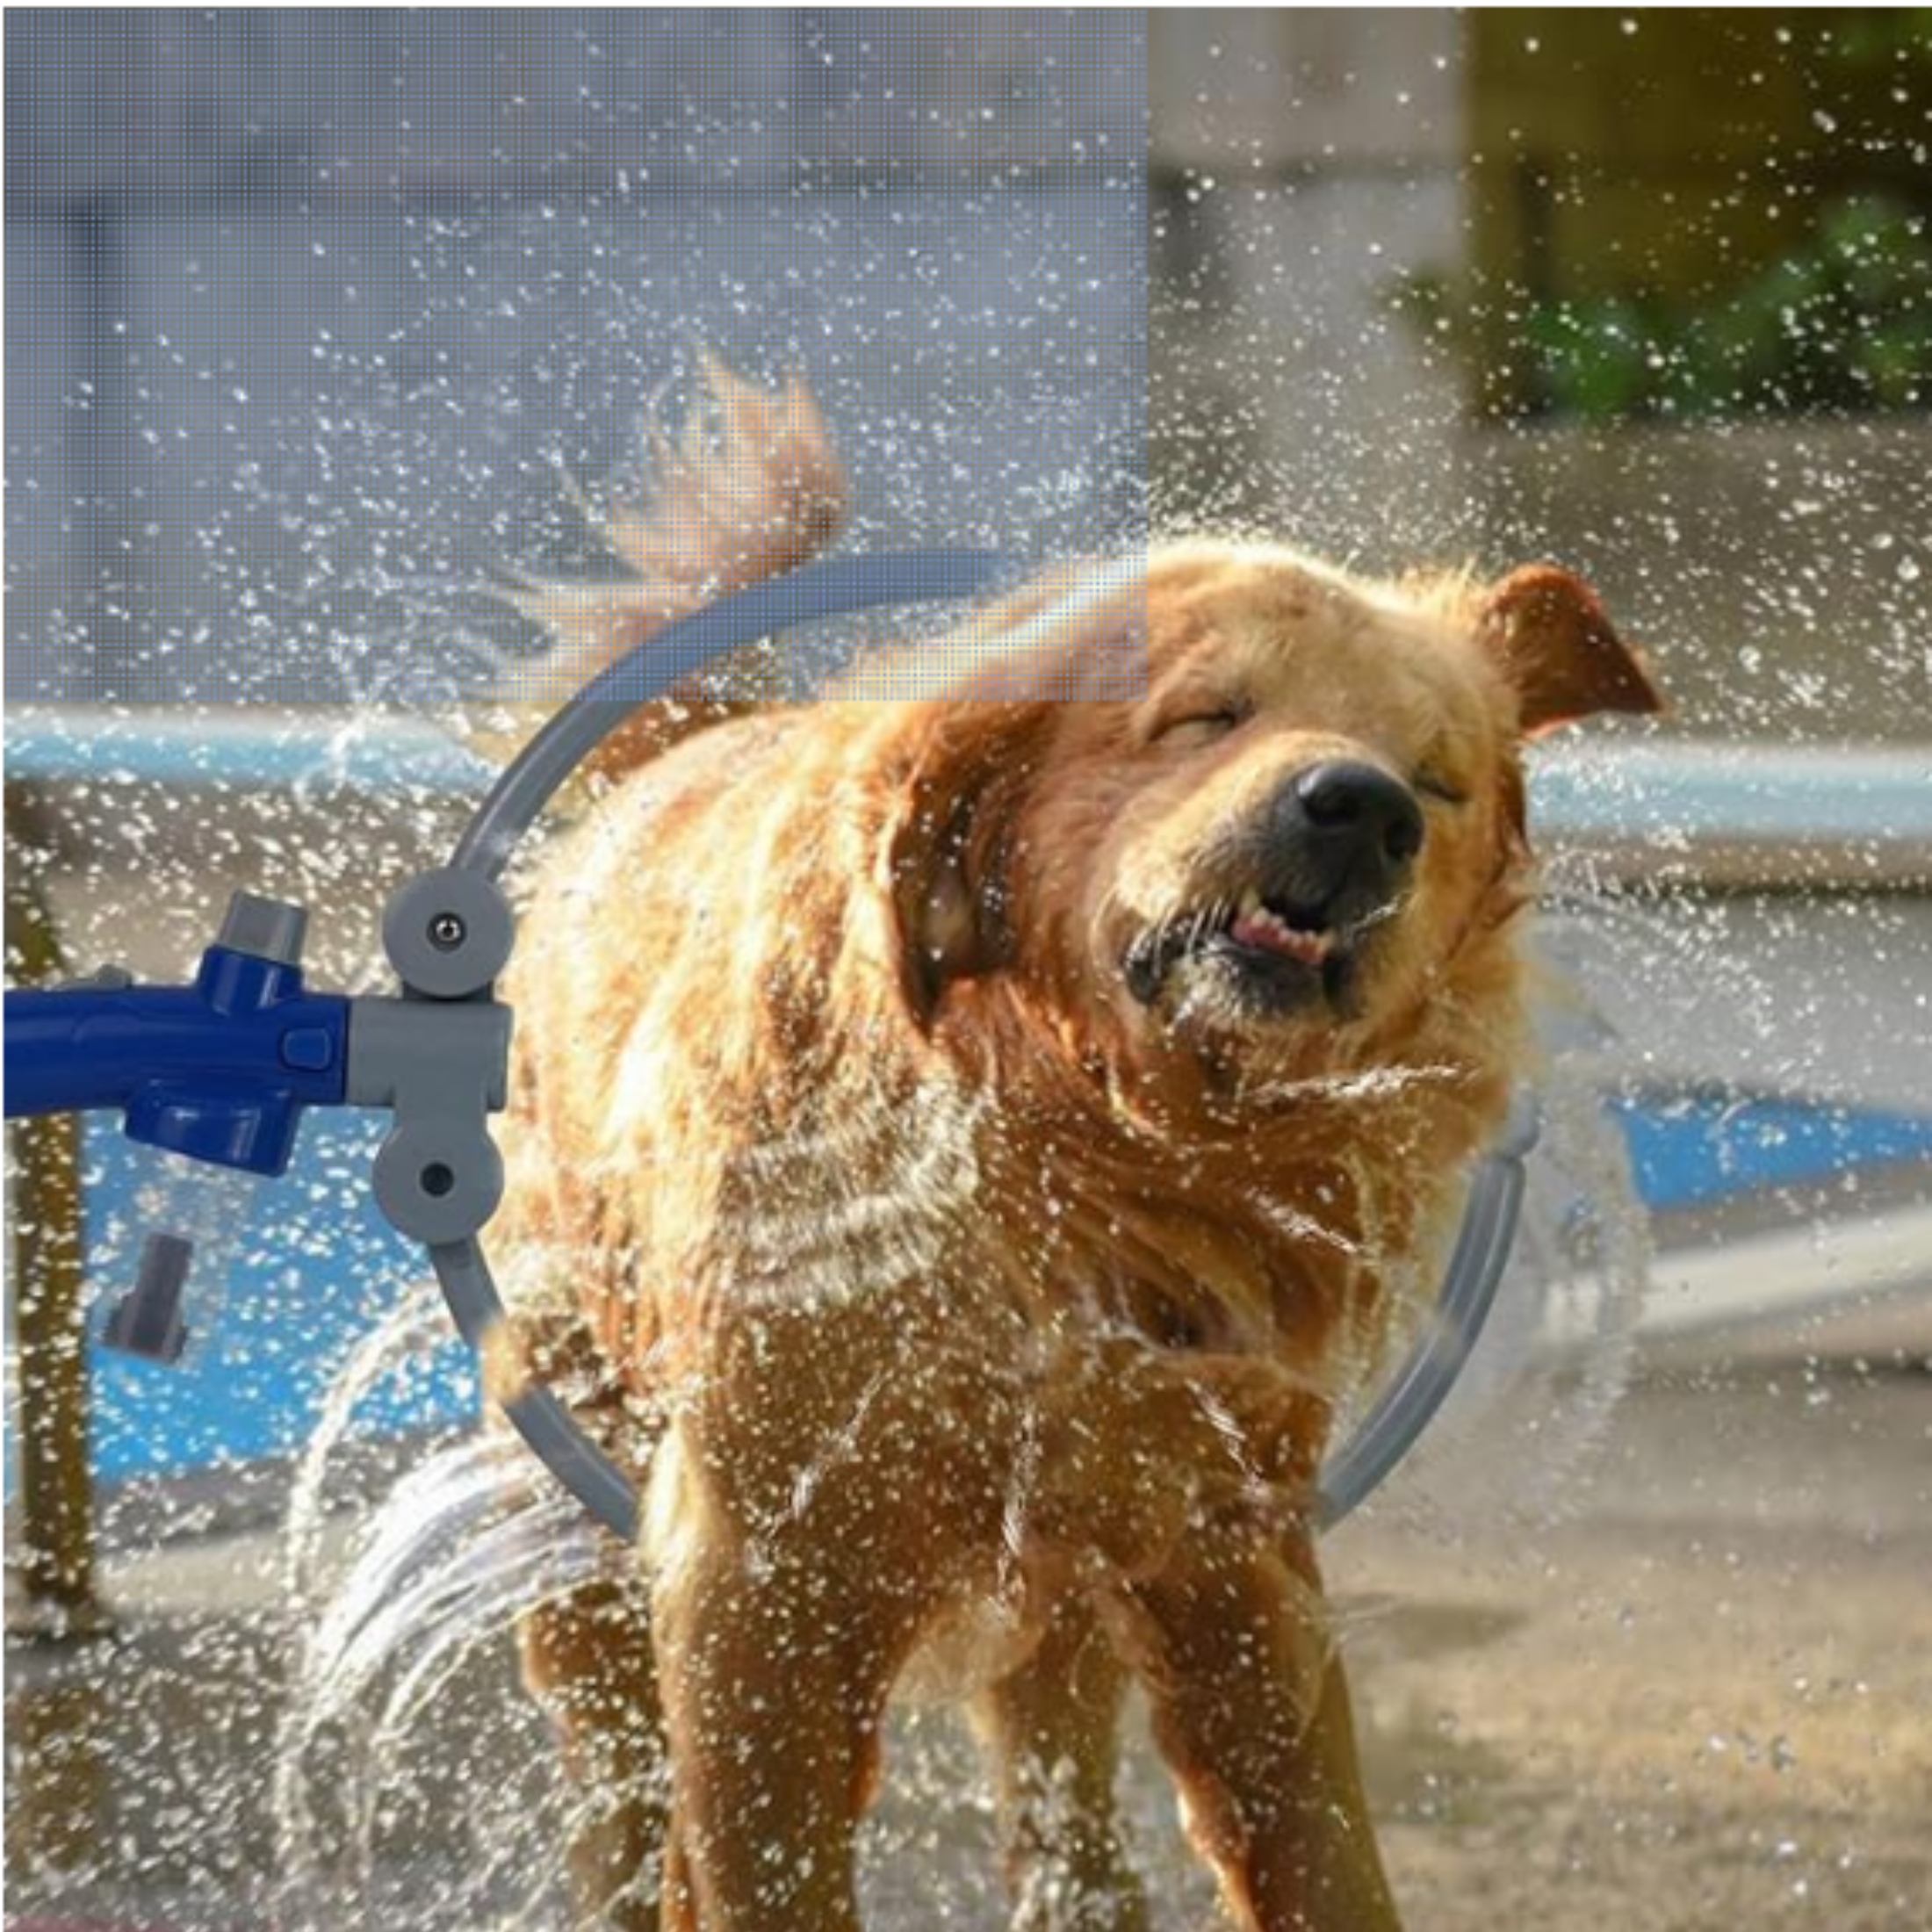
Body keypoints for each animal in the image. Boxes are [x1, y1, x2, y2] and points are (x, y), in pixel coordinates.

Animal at [494, 364, 1662, 1932]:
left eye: (1444, 780)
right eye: (1205, 714)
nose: (1362, 807)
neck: (1098, 1154)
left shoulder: (1219, 1526)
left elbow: (1313, 1833)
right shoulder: (758, 1552)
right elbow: (756, 1853)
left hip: (1065, 1567)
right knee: (623, 1782)